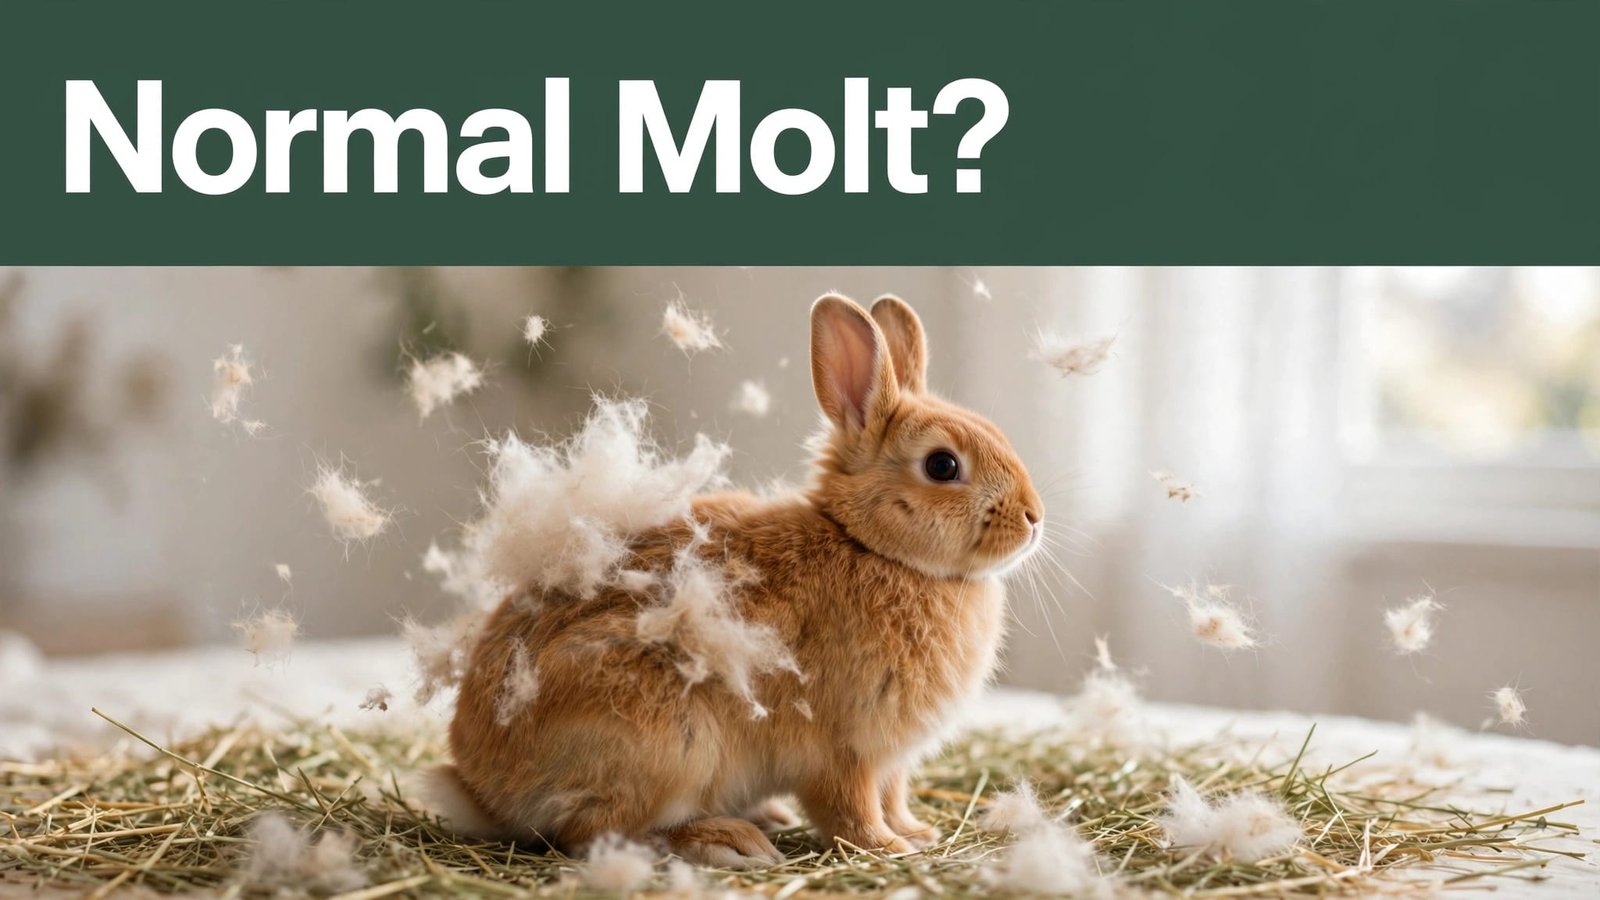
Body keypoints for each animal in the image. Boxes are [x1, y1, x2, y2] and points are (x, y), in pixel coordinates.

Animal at [430, 293, 1045, 868]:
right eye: (943, 465)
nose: (1034, 517)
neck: (872, 546)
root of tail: (486, 788)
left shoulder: (889, 762)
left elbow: (892, 797)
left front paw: (917, 834)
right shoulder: (843, 749)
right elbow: (851, 809)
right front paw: (887, 848)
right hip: (668, 741)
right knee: (595, 832)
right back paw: (726, 841)